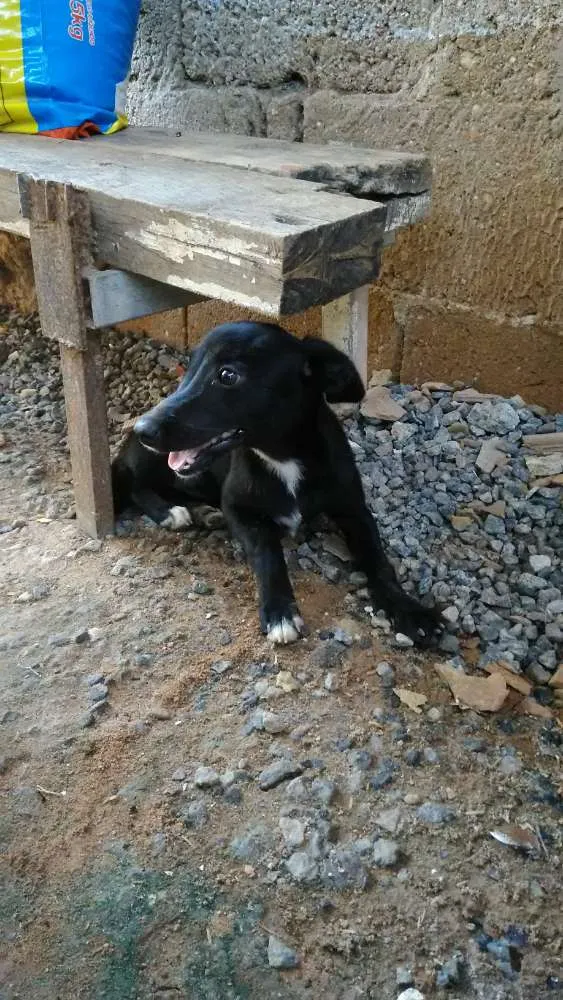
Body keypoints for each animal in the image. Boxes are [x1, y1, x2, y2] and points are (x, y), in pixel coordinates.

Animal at [112, 322, 442, 648]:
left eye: (227, 375)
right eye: (189, 368)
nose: (143, 428)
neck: (283, 458)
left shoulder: (355, 509)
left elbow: (378, 559)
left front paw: (407, 609)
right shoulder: (238, 508)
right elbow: (267, 550)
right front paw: (279, 612)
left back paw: (203, 512)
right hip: (151, 462)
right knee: (132, 483)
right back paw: (169, 512)